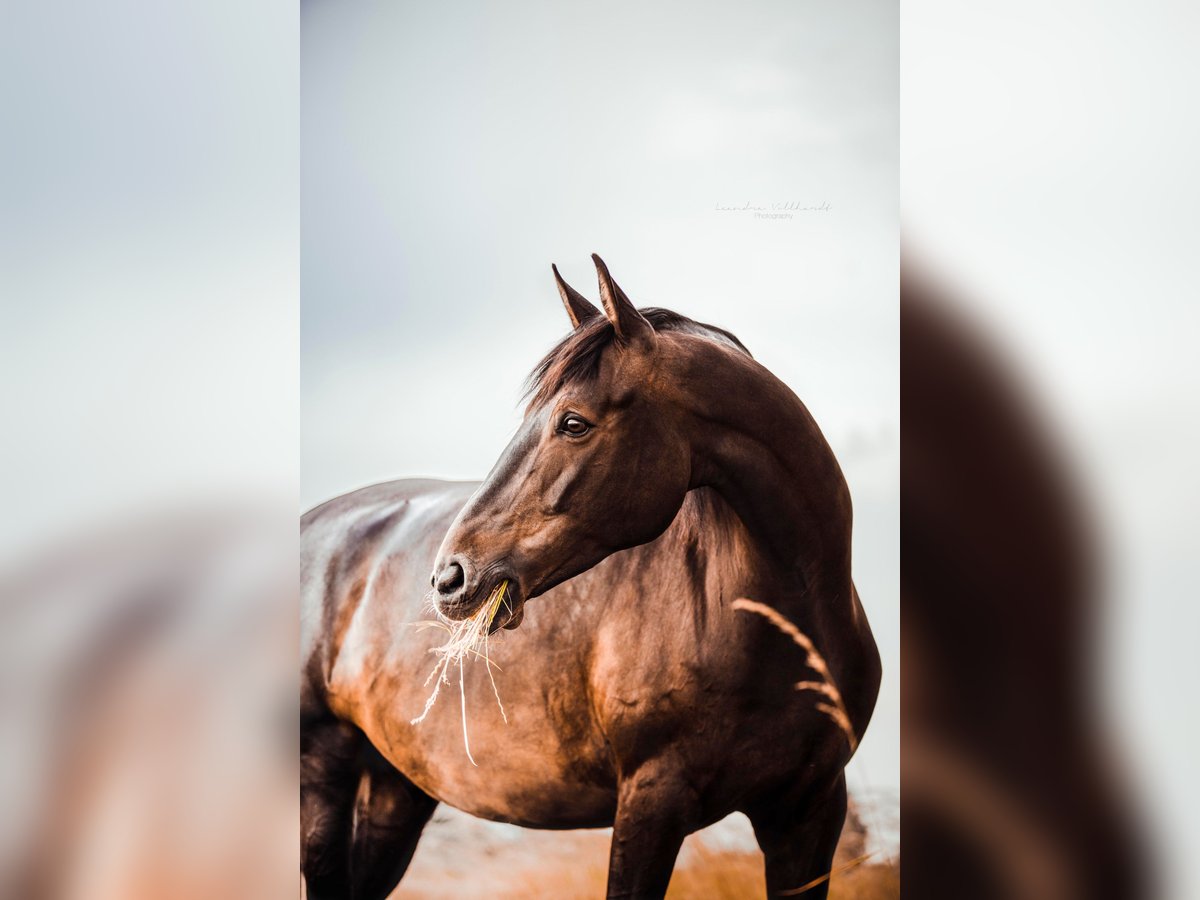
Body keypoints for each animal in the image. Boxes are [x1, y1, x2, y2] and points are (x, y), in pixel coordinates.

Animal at [300, 255, 883, 900]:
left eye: (573, 422)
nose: (450, 577)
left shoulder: (810, 814)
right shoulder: (651, 802)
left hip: (396, 786)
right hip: (324, 771)